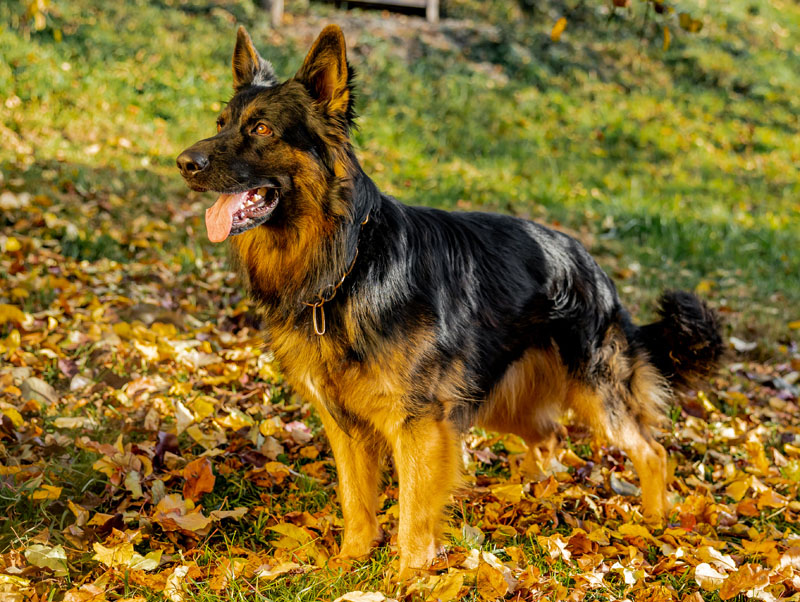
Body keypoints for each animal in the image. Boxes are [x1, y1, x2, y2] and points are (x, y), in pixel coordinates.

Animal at [177, 24, 724, 576]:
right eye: (221, 124)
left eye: (262, 129)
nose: (184, 163)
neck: (349, 265)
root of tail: (591, 266)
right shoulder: (346, 425)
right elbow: (356, 502)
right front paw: (350, 563)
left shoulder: (419, 423)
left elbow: (412, 515)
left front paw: (407, 577)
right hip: (499, 398)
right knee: (549, 435)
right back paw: (532, 495)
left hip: (595, 394)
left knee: (651, 450)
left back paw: (655, 521)